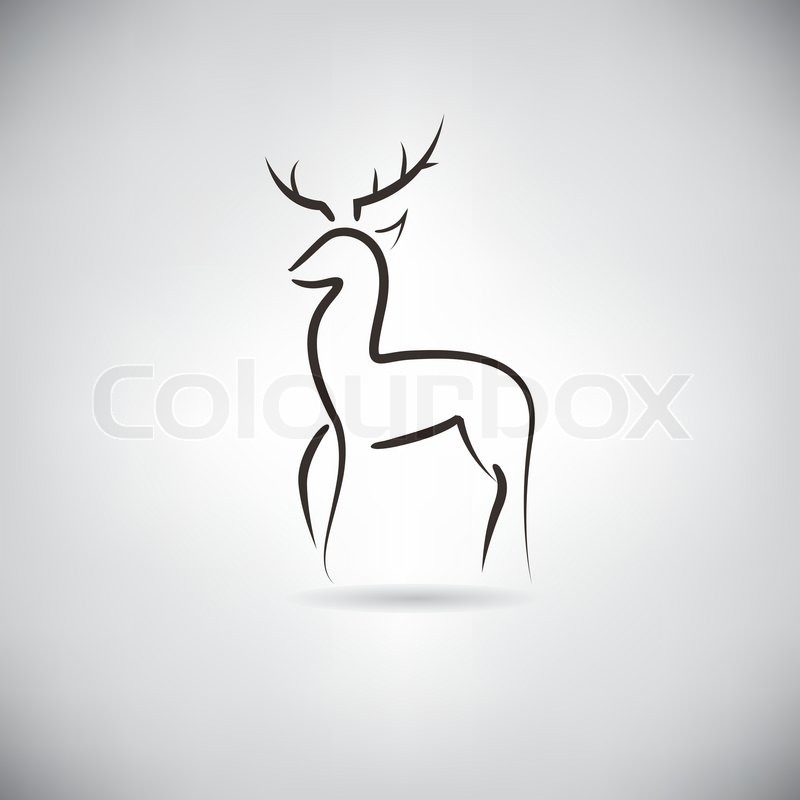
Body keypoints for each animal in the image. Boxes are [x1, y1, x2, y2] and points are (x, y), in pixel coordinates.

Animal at [267, 119, 535, 581]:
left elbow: (341, 497)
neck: (357, 361)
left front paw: (334, 565)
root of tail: (525, 392)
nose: (293, 270)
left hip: (492, 441)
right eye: (319, 237)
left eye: (337, 242)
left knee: (506, 488)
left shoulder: (356, 439)